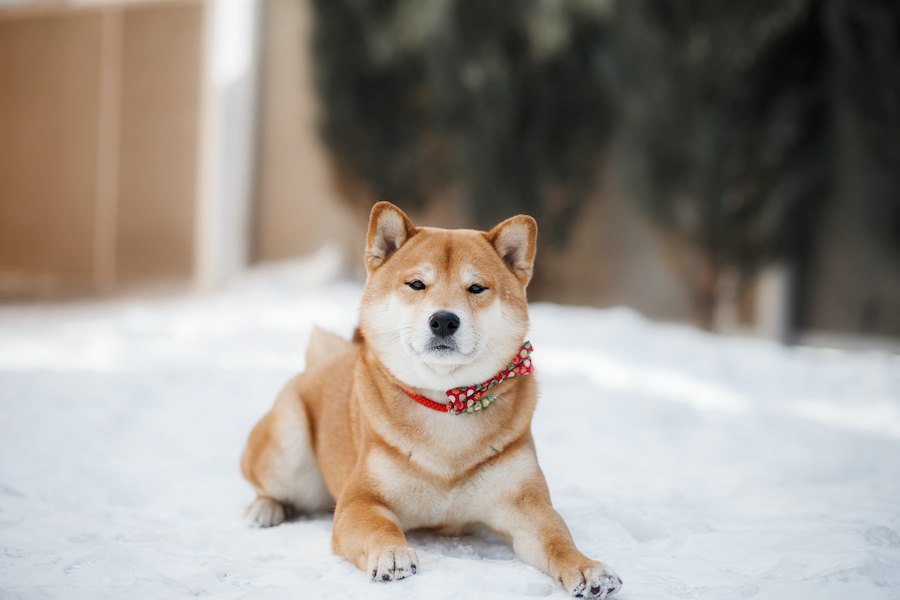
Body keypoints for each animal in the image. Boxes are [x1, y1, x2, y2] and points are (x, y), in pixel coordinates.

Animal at [239, 203, 624, 600]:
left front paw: (587, 568)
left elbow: (556, 539)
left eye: (476, 288)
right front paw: (392, 553)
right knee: (268, 485)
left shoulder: (526, 504)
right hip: (288, 442)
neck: (447, 405)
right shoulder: (360, 501)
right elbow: (378, 527)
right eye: (417, 284)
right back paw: (264, 509)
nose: (443, 320)